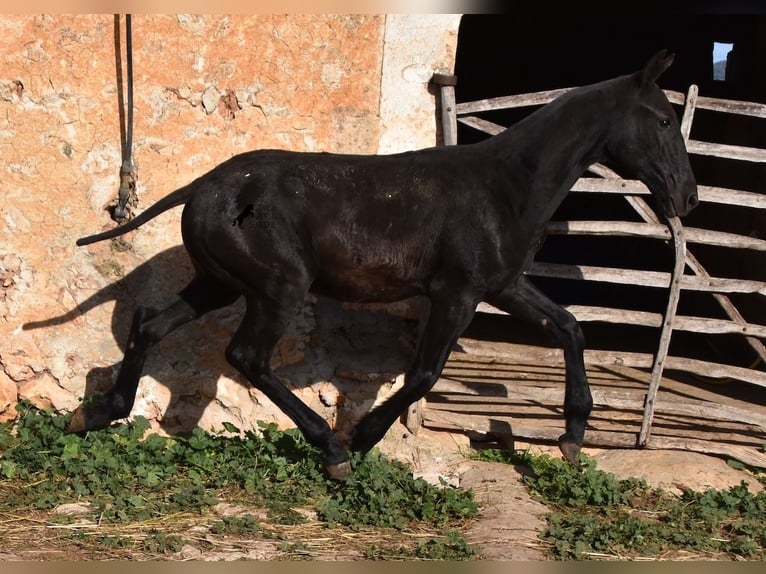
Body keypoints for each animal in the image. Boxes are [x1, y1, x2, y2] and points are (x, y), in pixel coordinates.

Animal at [72, 50, 704, 482]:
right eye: (663, 121)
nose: (689, 196)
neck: (507, 187)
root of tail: (199, 189)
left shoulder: (501, 286)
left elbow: (570, 327)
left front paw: (573, 436)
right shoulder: (456, 294)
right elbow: (423, 374)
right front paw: (364, 438)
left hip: (218, 284)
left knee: (151, 323)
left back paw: (97, 414)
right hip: (277, 288)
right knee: (247, 356)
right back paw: (331, 450)